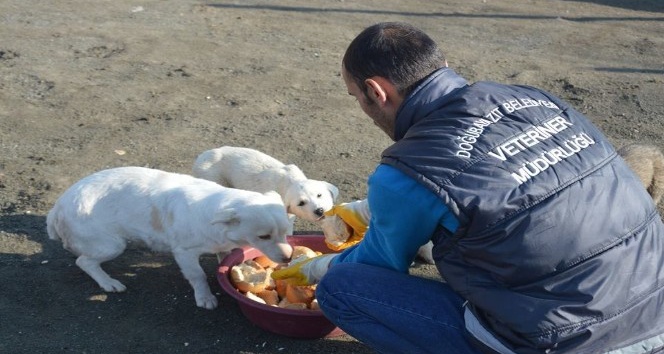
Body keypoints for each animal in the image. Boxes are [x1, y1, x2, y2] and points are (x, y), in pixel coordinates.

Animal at [46, 167, 294, 308]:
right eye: (263, 236)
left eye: (285, 232)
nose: (289, 257)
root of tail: (57, 208)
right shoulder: (184, 253)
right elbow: (197, 275)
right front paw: (205, 298)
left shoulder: (222, 246)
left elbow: (222, 259)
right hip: (111, 245)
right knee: (84, 262)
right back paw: (109, 283)